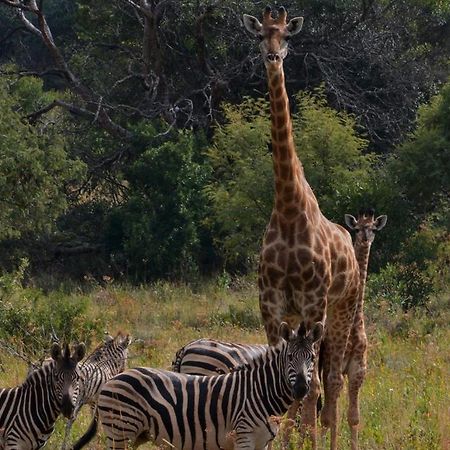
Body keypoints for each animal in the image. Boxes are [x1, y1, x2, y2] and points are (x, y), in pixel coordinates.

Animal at [74, 322, 322, 448]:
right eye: (289, 357)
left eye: (312, 358)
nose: (301, 389)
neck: (261, 393)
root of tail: (112, 380)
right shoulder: (244, 437)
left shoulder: (264, 442)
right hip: (120, 430)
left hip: (133, 435)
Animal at [244, 6, 360, 450]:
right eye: (260, 36)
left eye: (287, 37)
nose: (273, 58)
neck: (290, 211)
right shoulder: (271, 304)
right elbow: (282, 377)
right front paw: (279, 436)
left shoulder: (313, 304)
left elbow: (311, 388)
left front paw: (304, 439)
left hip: (342, 312)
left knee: (331, 383)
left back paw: (327, 437)